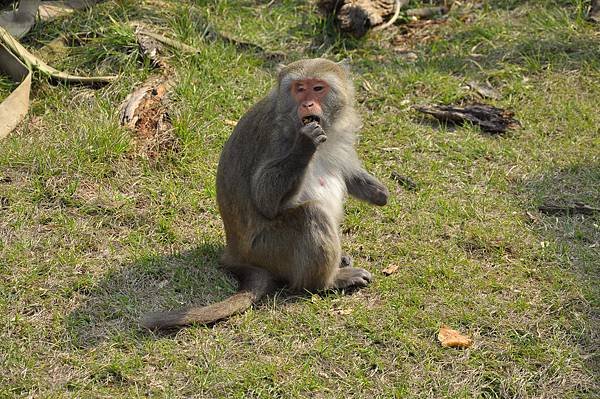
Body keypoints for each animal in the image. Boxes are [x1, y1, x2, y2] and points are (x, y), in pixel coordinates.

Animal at [144, 57, 392, 332]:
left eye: (318, 88)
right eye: (299, 88)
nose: (307, 104)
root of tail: (235, 254)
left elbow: (345, 168)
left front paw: (378, 192)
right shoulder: (276, 139)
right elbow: (265, 199)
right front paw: (305, 145)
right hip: (269, 249)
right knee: (312, 214)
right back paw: (326, 282)